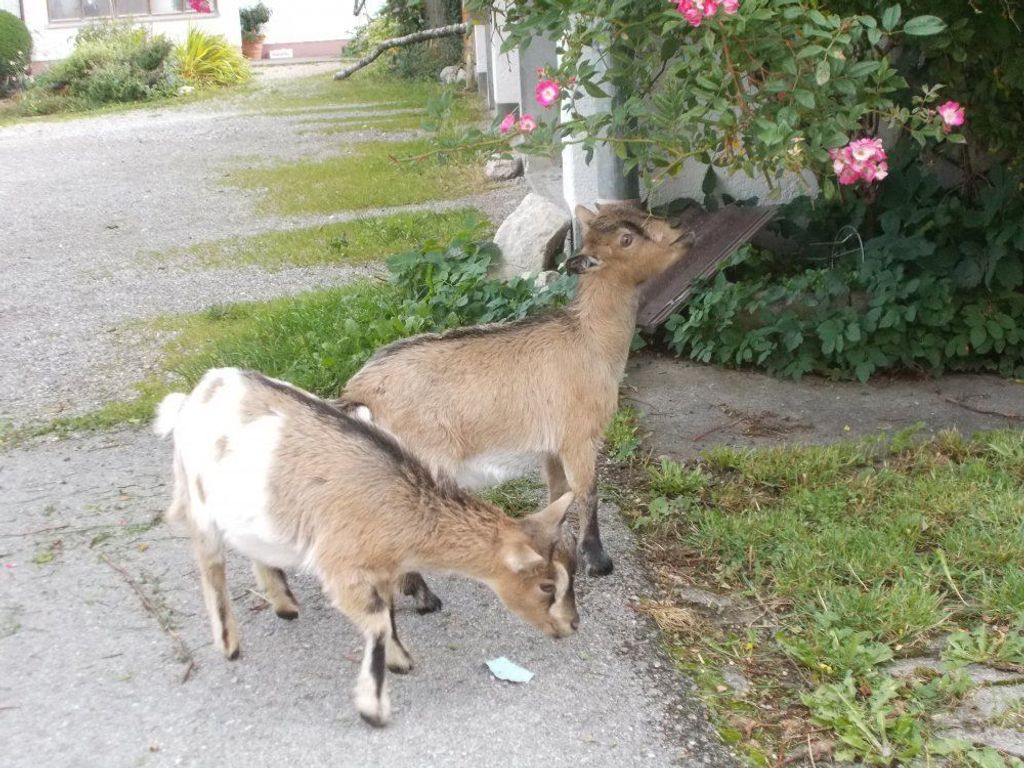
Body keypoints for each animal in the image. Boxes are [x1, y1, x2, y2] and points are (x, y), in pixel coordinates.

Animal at [154, 368, 578, 727]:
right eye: (546, 586)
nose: (572, 625)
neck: (397, 507)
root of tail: (198, 392)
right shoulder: (342, 567)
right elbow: (375, 622)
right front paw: (374, 707)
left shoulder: (382, 567)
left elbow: (387, 614)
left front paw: (398, 659)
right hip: (199, 501)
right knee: (211, 565)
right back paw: (229, 643)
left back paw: (285, 604)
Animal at [339, 204, 692, 595]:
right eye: (627, 239)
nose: (682, 229)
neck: (589, 338)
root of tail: (361, 390)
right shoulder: (579, 438)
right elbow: (587, 492)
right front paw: (599, 562)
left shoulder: (552, 447)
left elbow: (559, 493)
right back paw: (421, 596)